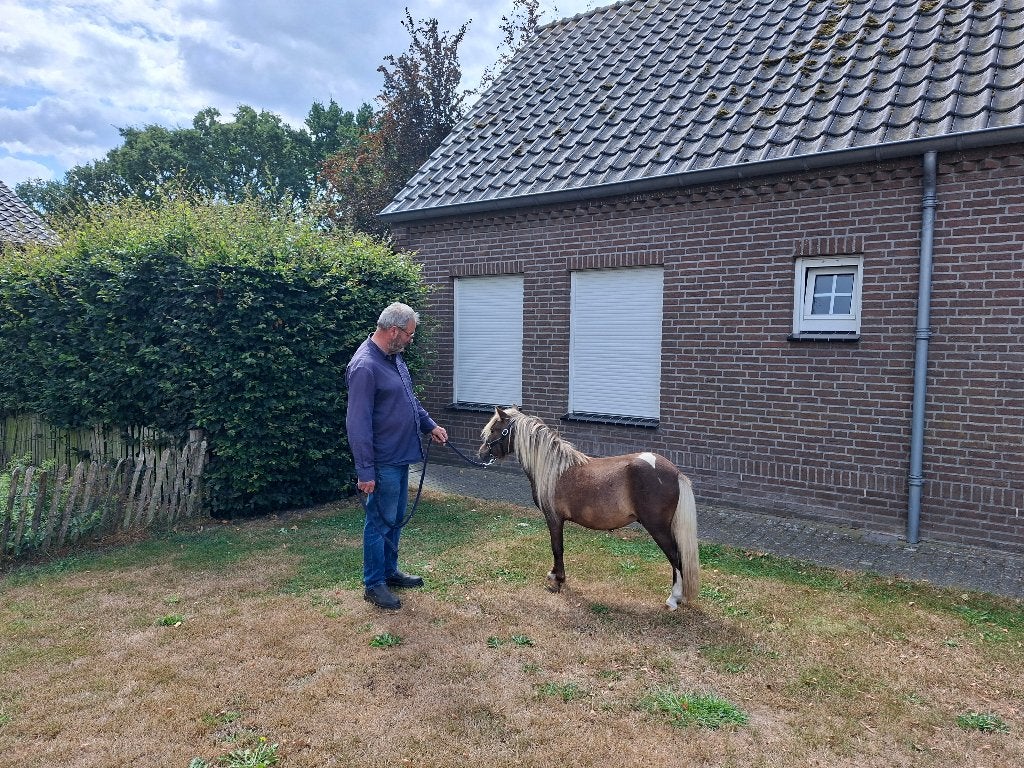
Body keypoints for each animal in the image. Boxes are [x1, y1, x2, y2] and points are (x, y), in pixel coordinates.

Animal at [478, 406, 699, 610]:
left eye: (495, 429)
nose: (481, 454)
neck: (555, 470)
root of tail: (675, 472)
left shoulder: (554, 518)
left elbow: (557, 548)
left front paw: (557, 580)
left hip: (658, 528)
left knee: (676, 557)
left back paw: (673, 599)